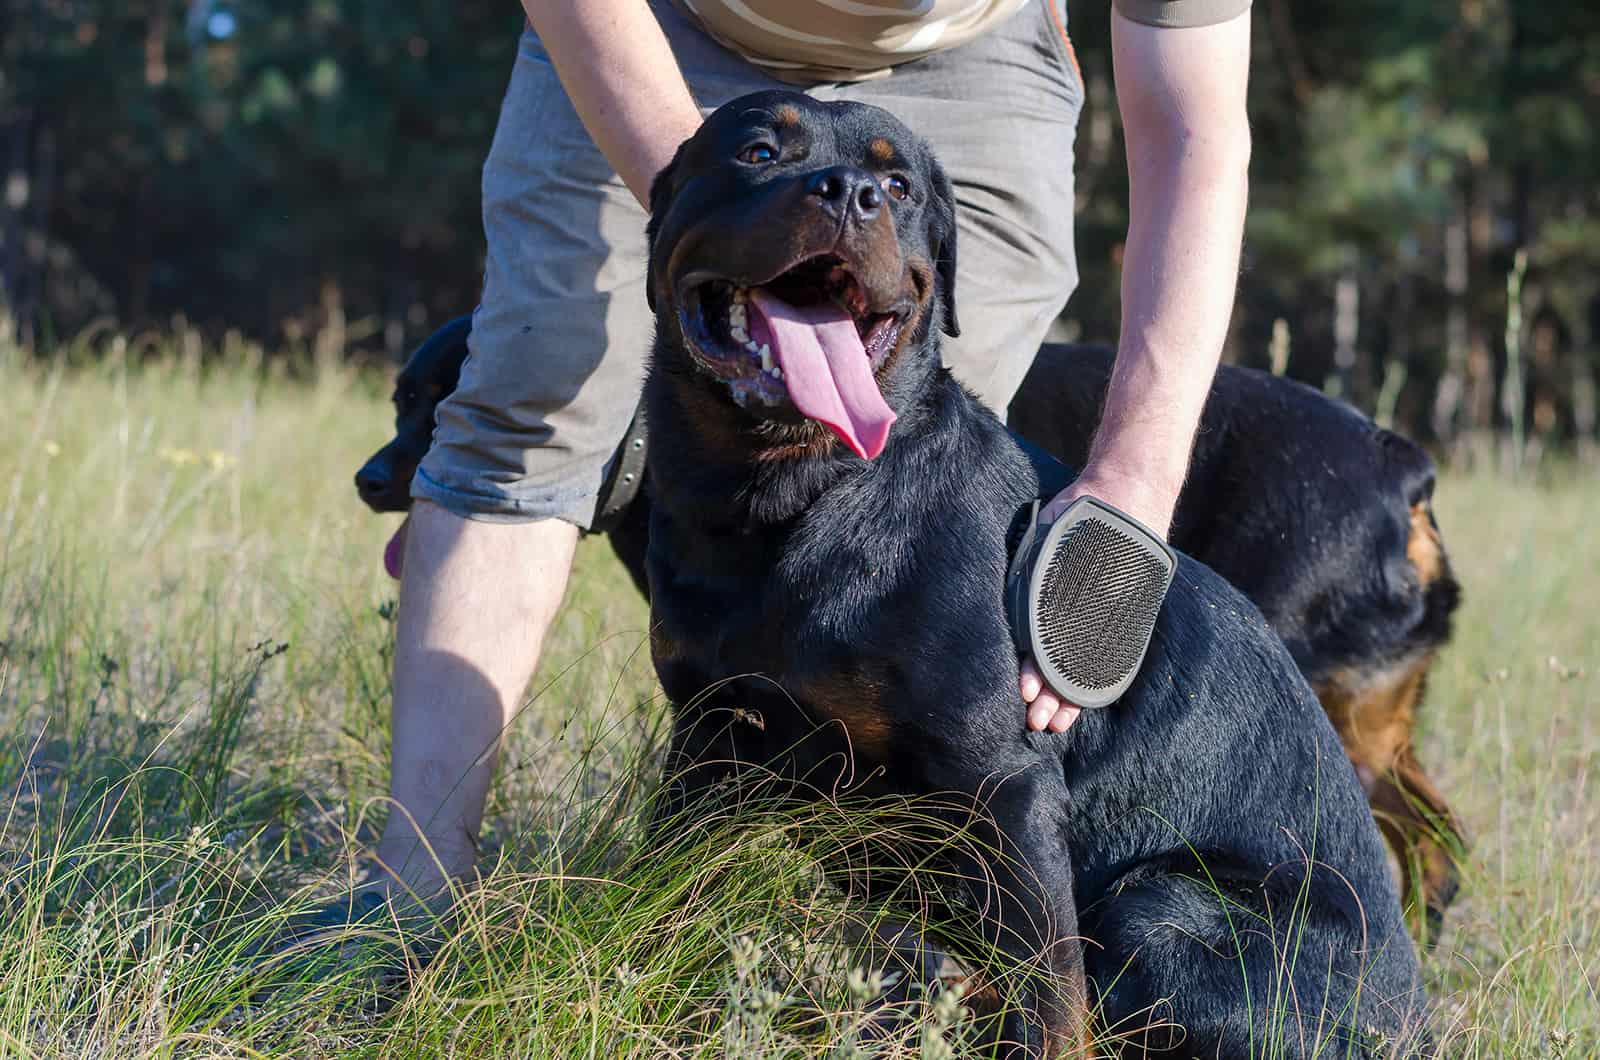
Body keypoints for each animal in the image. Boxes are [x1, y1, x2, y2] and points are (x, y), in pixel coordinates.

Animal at [627, 93, 1427, 1060]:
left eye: (901, 185)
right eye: (755, 150)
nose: (853, 192)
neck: (790, 497)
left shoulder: (1005, 785)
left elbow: (1048, 996)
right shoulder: (709, 735)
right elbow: (671, 897)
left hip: (1165, 907)